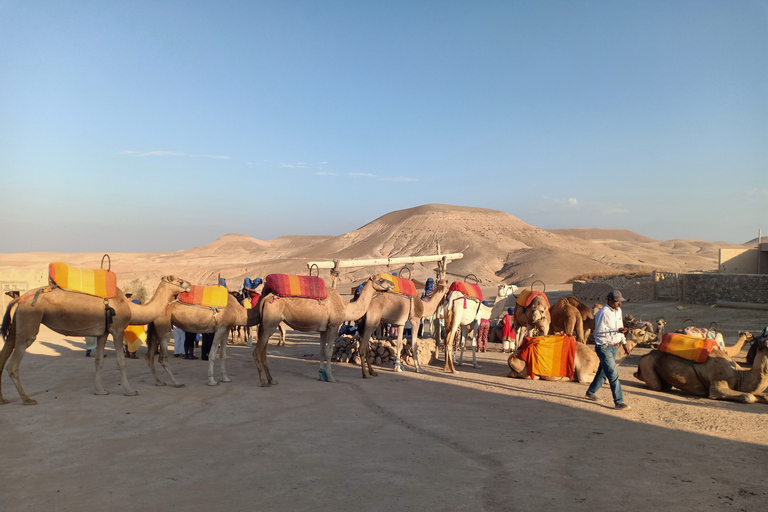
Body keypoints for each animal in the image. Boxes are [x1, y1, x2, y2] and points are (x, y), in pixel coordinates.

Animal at [0, 276, 192, 404]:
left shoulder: (102, 333)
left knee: (5, 351)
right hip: (29, 319)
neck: (129, 306)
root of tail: (19, 298)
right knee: (13, 363)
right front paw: (129, 391)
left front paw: (100, 391)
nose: (190, 285)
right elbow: (121, 362)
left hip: (17, 323)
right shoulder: (117, 329)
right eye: (180, 280)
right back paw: (27, 399)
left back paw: (4, 399)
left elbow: (99, 360)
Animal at [254, 274, 396, 386]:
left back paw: (271, 380)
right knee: (257, 351)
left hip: (267, 325)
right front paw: (331, 377)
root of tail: (265, 298)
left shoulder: (323, 329)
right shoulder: (334, 326)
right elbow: (328, 352)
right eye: (381, 279)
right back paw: (263, 381)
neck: (345, 307)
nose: (392, 284)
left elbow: (322, 351)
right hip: (270, 323)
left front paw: (321, 376)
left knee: (263, 351)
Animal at [632, 332, 768, 404]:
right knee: (657, 386)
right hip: (647, 365)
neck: (740, 375)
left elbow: (762, 395)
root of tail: (644, 356)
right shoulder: (717, 384)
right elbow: (748, 396)